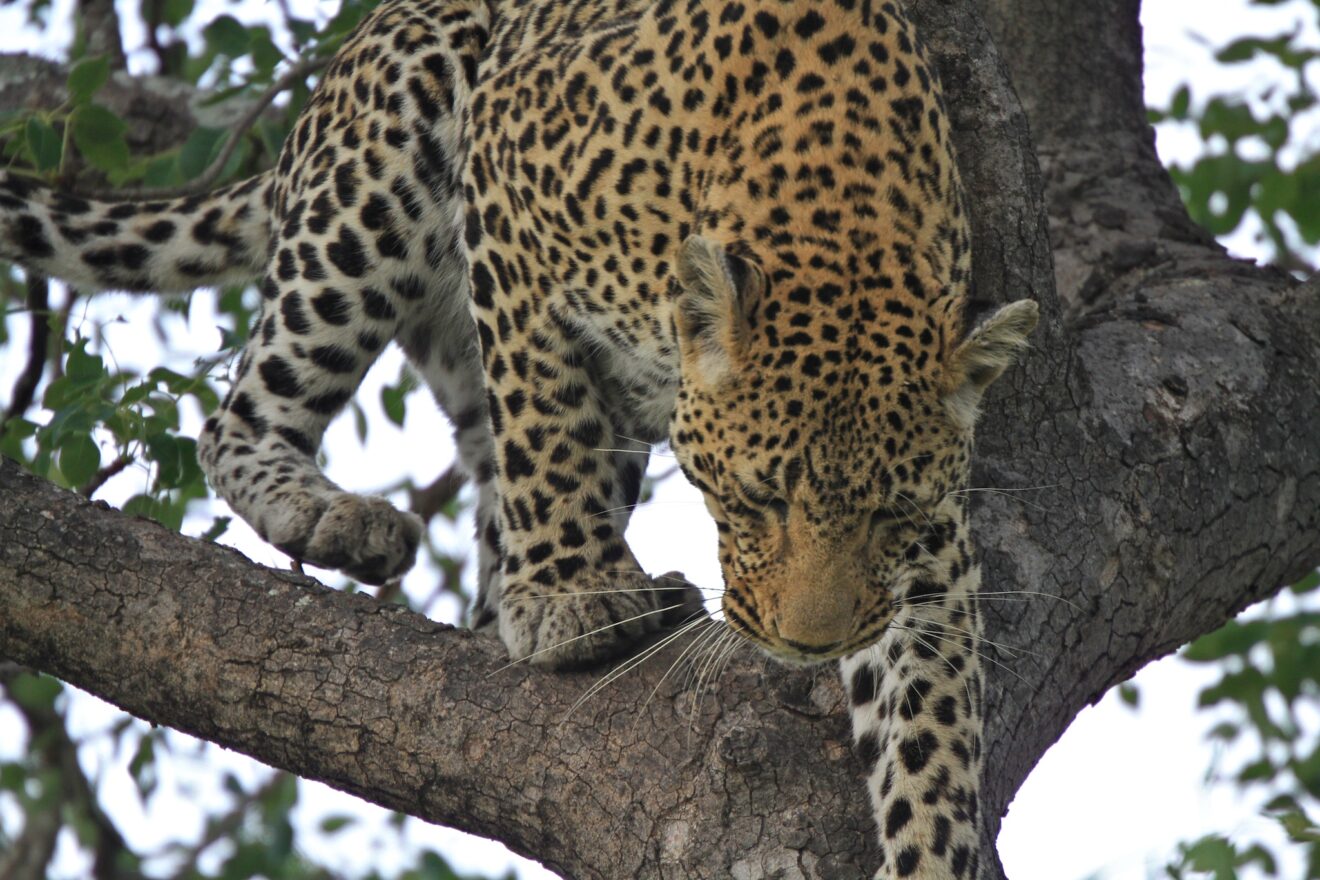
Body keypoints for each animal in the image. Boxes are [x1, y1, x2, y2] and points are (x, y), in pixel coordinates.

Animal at [0, 0, 1039, 875]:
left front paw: (931, 848)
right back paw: (342, 521)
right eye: (756, 498)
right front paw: (574, 598)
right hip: (382, 172)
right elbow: (545, 418)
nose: (809, 645)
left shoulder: (931, 534)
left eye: (893, 516)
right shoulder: (507, 169)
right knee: (240, 419)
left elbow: (934, 706)